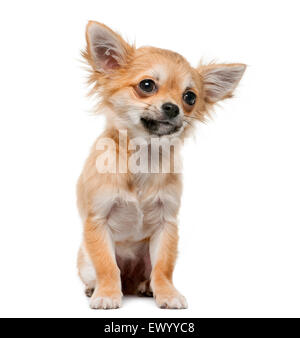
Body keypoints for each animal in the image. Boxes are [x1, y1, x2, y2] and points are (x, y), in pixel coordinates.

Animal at [76, 21, 245, 308]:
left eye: (190, 97)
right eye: (147, 85)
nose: (173, 107)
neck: (144, 156)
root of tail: (130, 283)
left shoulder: (167, 224)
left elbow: (164, 267)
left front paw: (167, 294)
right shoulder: (97, 220)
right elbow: (107, 266)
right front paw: (107, 294)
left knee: (151, 273)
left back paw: (147, 287)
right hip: (85, 259)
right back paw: (95, 288)